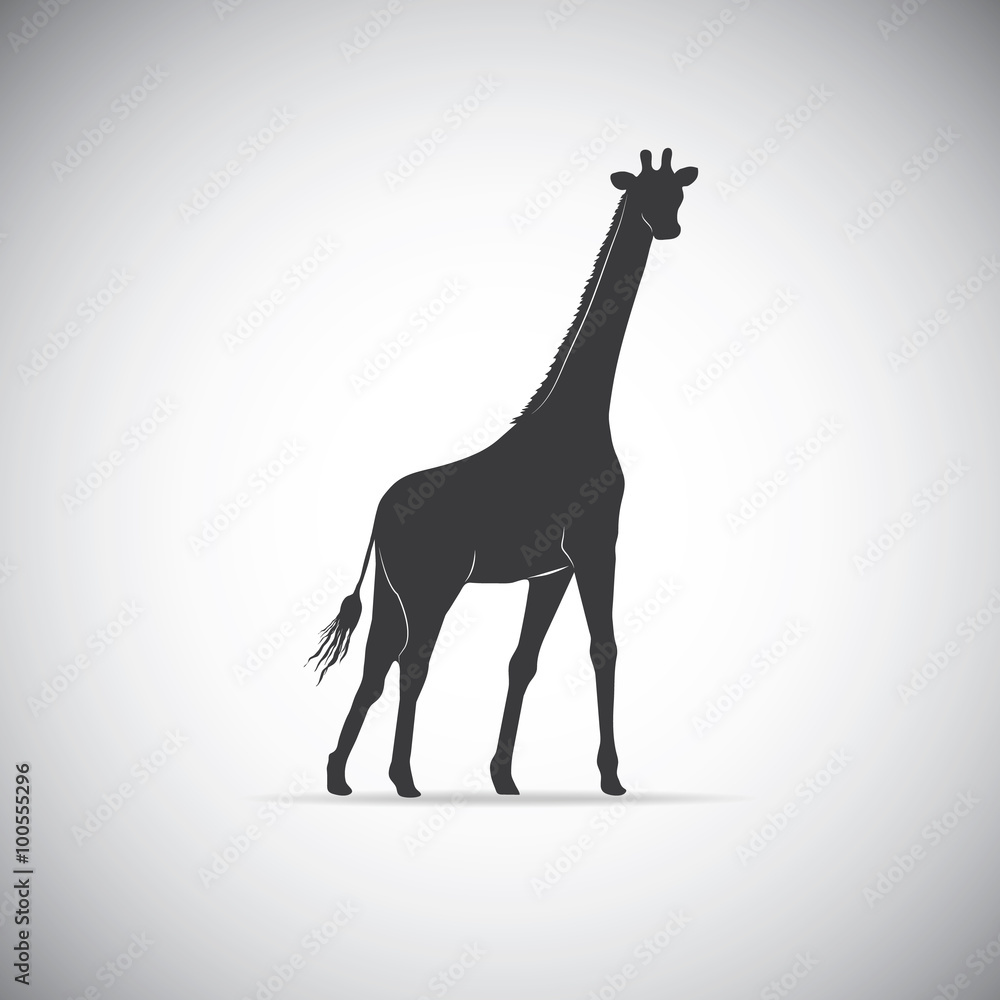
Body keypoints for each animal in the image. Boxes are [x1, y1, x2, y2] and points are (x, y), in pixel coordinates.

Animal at [308, 148, 697, 797]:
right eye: (645, 193)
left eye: (679, 194)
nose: (668, 228)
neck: (581, 418)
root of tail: (379, 514)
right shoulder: (597, 544)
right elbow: (605, 646)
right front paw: (611, 776)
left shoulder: (554, 567)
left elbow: (523, 660)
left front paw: (504, 775)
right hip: (433, 586)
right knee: (412, 663)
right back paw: (403, 778)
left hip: (393, 590)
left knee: (375, 664)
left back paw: (340, 776)